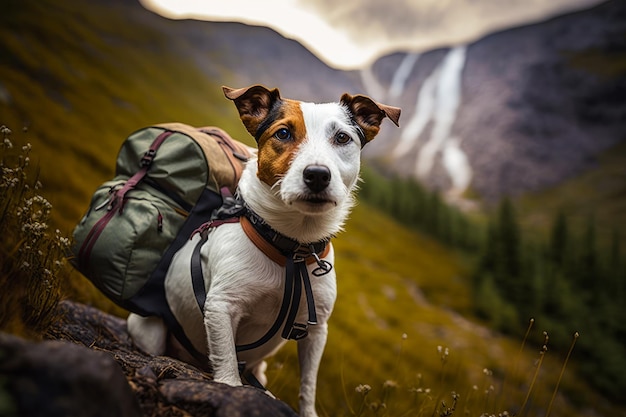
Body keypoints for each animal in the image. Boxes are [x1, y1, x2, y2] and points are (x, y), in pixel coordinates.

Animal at [127, 85, 400, 416]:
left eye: (342, 138)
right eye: (283, 133)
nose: (317, 175)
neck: (292, 248)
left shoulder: (317, 329)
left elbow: (308, 383)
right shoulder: (221, 307)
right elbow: (227, 363)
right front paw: (230, 388)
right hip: (149, 329)